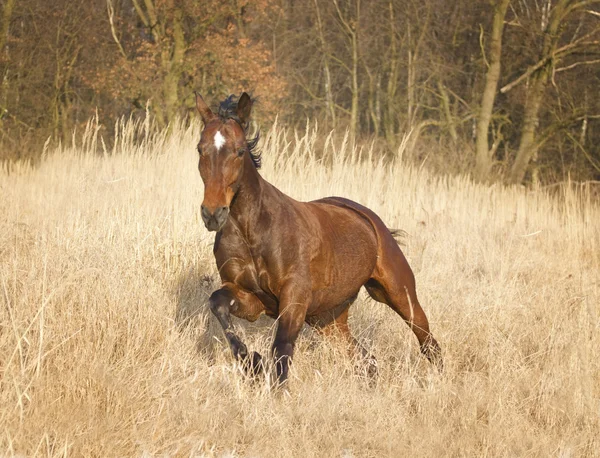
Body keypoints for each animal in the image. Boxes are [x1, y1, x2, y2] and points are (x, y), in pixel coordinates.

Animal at [195, 91, 442, 384]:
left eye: (240, 151)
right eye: (200, 149)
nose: (213, 213)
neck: (254, 231)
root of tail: (372, 222)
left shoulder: (294, 299)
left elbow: (282, 349)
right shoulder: (250, 298)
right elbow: (218, 304)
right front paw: (252, 363)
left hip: (399, 294)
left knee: (428, 343)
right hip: (327, 318)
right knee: (366, 358)